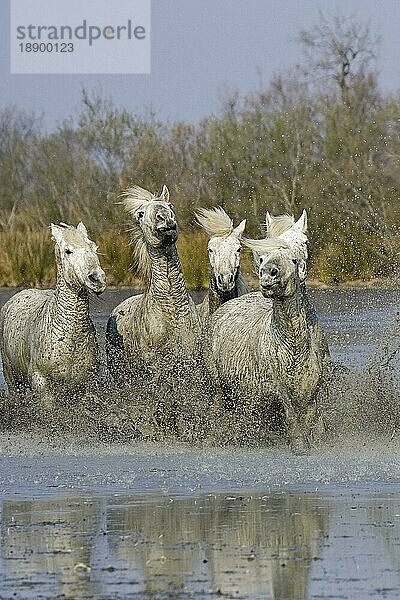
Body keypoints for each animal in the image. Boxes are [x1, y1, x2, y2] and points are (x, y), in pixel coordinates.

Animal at [0, 223, 106, 406]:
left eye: (94, 247)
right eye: (68, 251)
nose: (97, 279)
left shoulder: (89, 386)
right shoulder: (42, 386)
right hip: (11, 377)